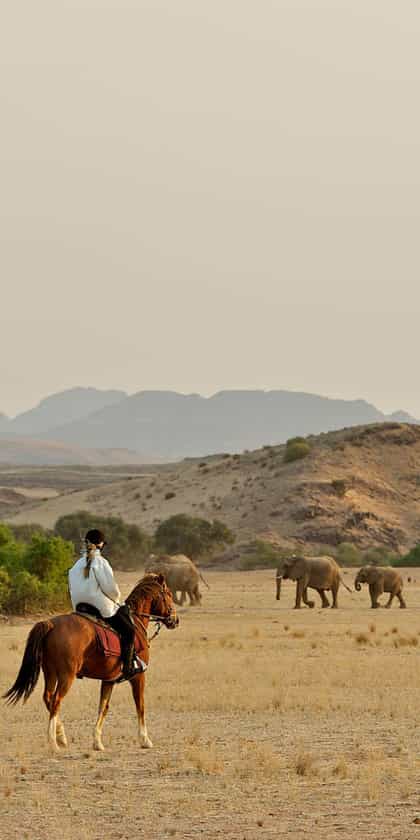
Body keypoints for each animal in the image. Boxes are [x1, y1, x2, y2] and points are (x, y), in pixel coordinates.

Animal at [3, 573, 178, 753]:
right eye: (169, 594)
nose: (175, 619)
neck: (135, 622)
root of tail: (51, 624)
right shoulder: (138, 676)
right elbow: (140, 705)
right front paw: (145, 740)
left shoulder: (109, 680)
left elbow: (103, 707)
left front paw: (97, 741)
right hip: (66, 675)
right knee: (56, 700)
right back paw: (53, 742)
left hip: (50, 672)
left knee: (48, 698)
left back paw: (61, 736)